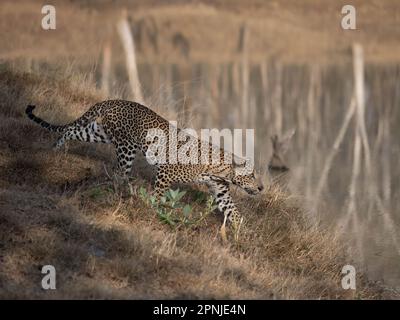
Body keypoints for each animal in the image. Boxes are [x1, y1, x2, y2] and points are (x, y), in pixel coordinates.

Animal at [25, 99, 262, 241]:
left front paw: (244, 232)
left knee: (71, 130)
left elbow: (233, 210)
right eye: (251, 176)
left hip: (98, 132)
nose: (261, 188)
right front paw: (154, 209)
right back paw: (127, 191)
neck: (221, 170)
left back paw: (57, 148)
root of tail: (113, 101)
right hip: (126, 146)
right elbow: (159, 194)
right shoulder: (167, 172)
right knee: (121, 173)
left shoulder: (220, 190)